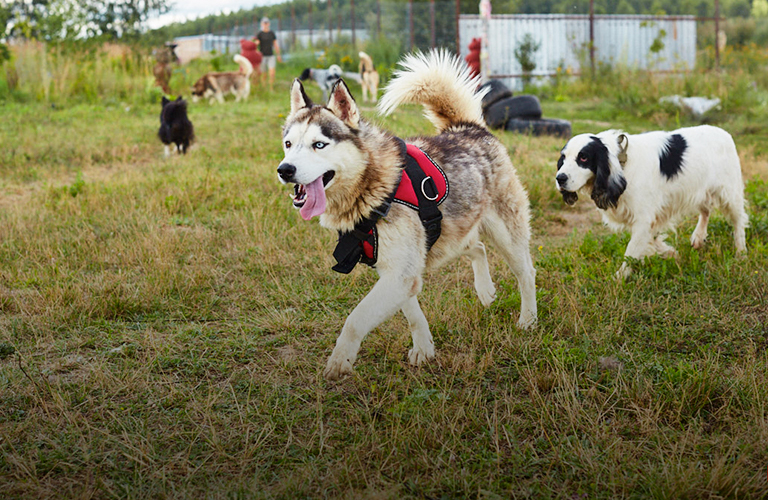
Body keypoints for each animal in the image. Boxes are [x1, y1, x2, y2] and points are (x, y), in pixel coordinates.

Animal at [280, 49, 536, 378]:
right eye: (288, 144)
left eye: (319, 145)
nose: (284, 170)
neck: (372, 186)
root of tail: (468, 127)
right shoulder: (398, 271)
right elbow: (413, 314)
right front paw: (425, 349)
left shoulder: (399, 274)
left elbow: (355, 320)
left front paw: (339, 361)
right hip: (445, 242)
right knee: (477, 246)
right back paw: (485, 291)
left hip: (505, 235)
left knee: (525, 272)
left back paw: (528, 319)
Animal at [556, 124, 748, 278]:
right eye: (563, 158)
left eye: (583, 157)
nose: (560, 178)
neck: (622, 162)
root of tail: (724, 133)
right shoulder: (652, 216)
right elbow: (652, 238)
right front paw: (670, 252)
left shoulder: (643, 218)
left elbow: (631, 250)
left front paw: (619, 277)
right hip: (700, 189)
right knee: (706, 210)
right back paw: (699, 237)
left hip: (730, 193)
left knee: (738, 221)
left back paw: (741, 252)